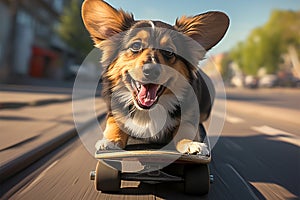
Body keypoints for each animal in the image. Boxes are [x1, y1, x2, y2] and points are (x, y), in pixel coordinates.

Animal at [81, 0, 229, 155]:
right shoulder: (113, 111)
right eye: (136, 45)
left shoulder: (189, 117)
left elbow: (185, 130)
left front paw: (191, 144)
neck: (148, 111)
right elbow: (115, 124)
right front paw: (109, 141)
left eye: (169, 51)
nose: (151, 71)